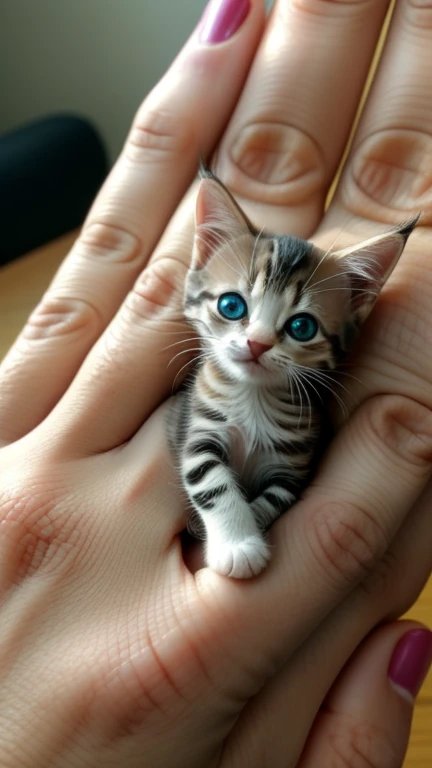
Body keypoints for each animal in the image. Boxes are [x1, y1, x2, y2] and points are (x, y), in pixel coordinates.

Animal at [172, 168, 418, 576]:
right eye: (231, 305)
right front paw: (237, 545)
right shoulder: (197, 427)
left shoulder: (297, 461)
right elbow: (209, 478)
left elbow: (275, 498)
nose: (257, 344)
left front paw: (249, 529)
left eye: (302, 327)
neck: (254, 398)